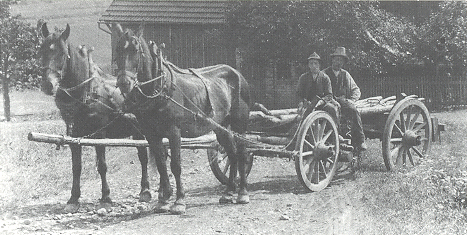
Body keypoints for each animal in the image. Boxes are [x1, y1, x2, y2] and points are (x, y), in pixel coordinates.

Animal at [39, 23, 152, 211]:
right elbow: (76, 167)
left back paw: (145, 191)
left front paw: (106, 197)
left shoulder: (99, 133)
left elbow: (102, 166)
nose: (48, 85)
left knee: (144, 157)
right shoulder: (74, 134)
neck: (86, 92)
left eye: (62, 53)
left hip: (141, 131)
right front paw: (73, 199)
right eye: (42, 51)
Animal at [112, 23, 252, 215]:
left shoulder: (174, 132)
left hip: (239, 124)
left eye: (136, 50)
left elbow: (176, 165)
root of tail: (237, 73)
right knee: (231, 154)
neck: (160, 87)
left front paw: (179, 201)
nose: (124, 83)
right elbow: (161, 165)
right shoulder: (152, 134)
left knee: (242, 153)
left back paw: (243, 193)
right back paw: (229, 192)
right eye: (117, 50)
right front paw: (163, 201)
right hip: (220, 126)